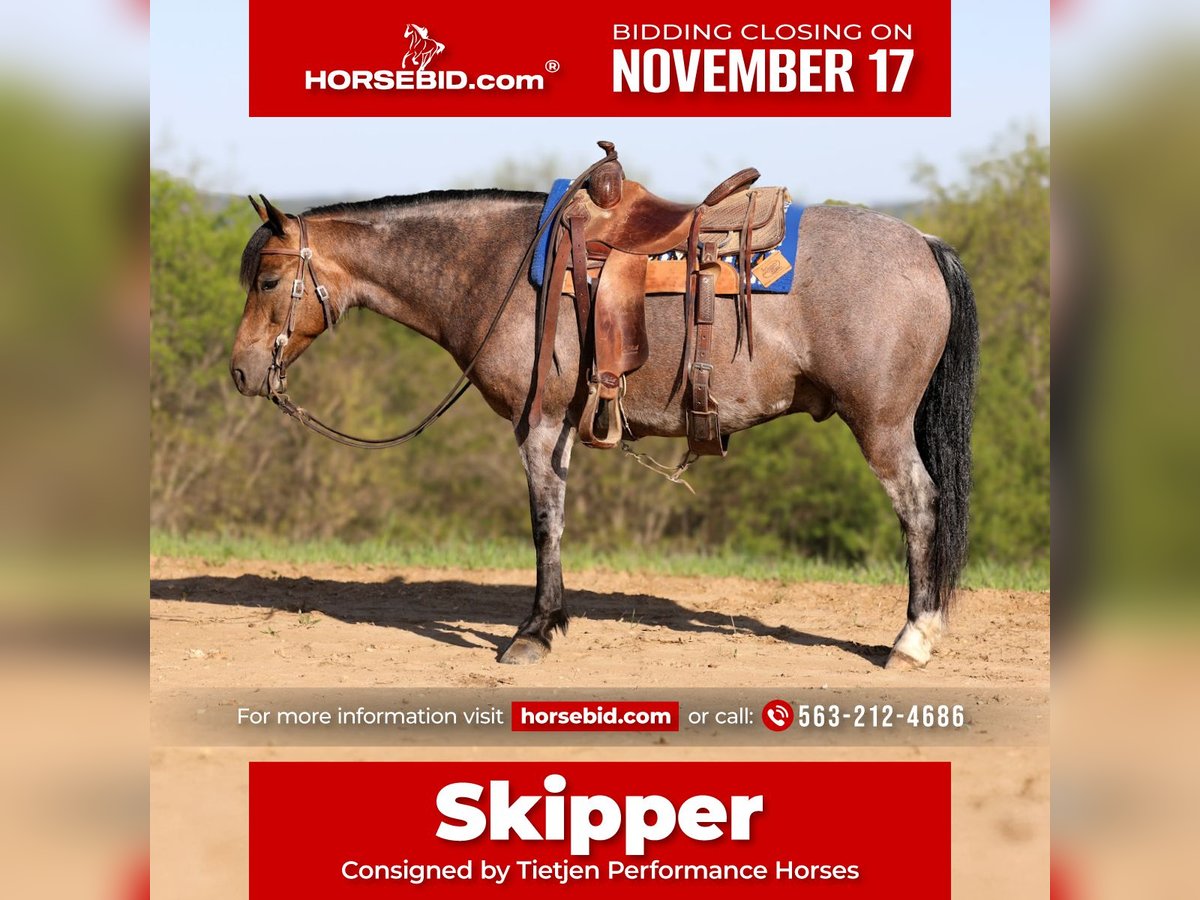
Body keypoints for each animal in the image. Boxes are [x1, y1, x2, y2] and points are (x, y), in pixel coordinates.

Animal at [230, 178, 977, 670]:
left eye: (266, 281)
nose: (240, 371)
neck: (498, 267)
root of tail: (925, 243)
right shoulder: (560, 425)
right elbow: (556, 520)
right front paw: (551, 621)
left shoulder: (538, 423)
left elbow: (545, 523)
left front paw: (534, 631)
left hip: (881, 427)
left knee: (919, 506)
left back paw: (913, 638)